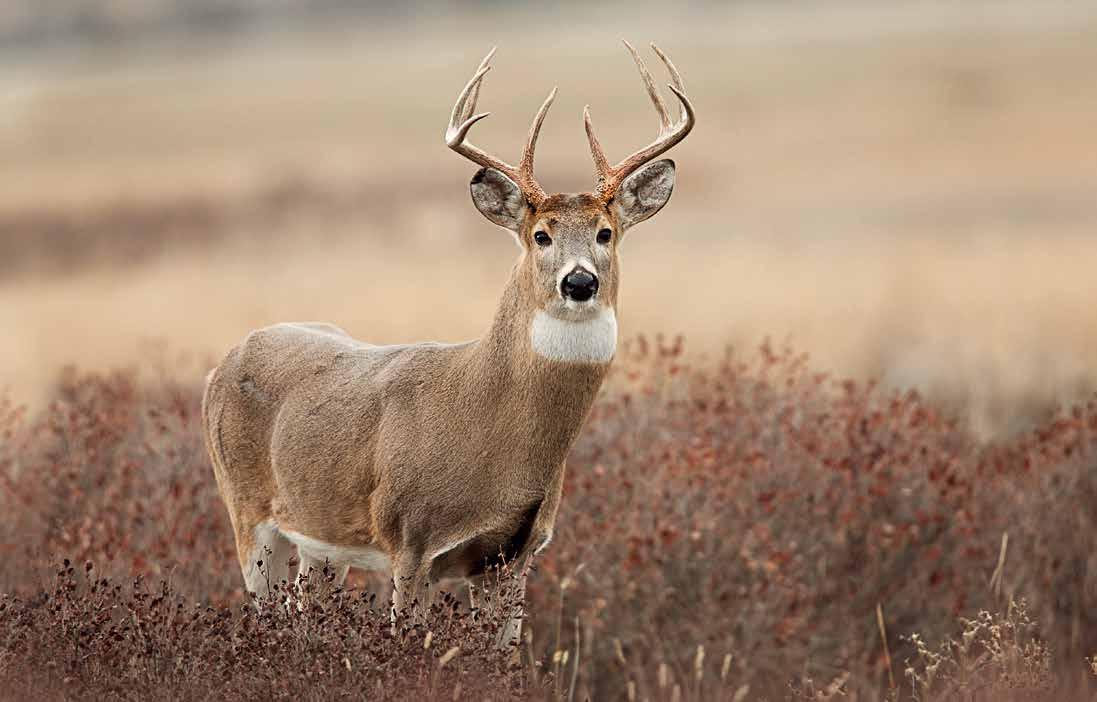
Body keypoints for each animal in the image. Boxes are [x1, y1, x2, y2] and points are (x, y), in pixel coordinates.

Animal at [200, 41, 694, 647]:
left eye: (605, 233)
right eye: (540, 235)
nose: (579, 282)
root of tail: (221, 364)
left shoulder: (518, 553)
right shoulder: (409, 537)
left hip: (320, 537)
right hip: (244, 506)